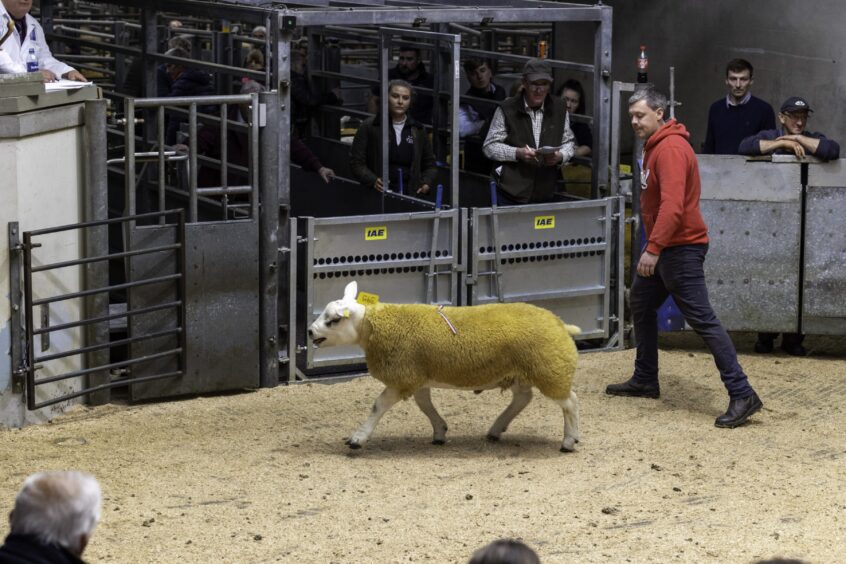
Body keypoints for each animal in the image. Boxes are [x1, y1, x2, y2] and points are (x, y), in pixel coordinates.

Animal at [310, 282, 584, 454]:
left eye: (333, 320)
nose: (311, 332)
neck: (373, 327)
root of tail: (560, 323)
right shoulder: (418, 376)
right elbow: (425, 405)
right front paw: (440, 431)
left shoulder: (403, 376)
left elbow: (378, 406)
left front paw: (358, 438)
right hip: (519, 372)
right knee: (523, 398)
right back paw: (496, 429)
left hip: (550, 369)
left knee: (570, 401)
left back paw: (569, 441)